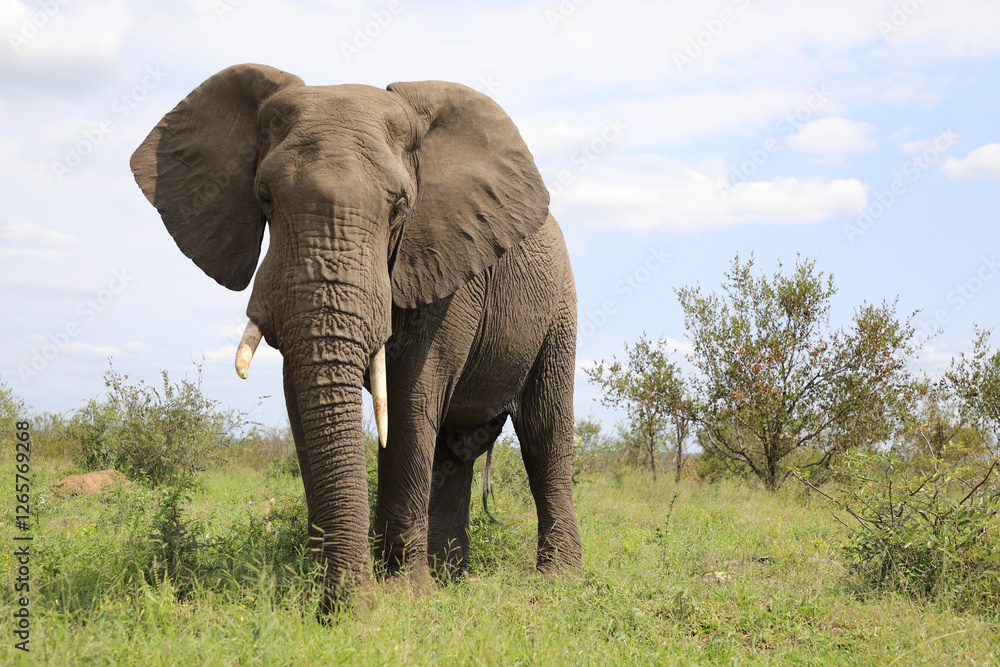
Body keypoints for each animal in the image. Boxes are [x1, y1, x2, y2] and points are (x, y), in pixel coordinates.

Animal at [130, 63, 582, 604]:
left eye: (400, 208)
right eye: (264, 198)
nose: (352, 603)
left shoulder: (446, 263)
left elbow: (410, 400)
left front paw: (404, 596)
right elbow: (302, 399)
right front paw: (326, 591)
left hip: (559, 307)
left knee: (544, 430)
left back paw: (559, 582)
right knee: (457, 448)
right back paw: (451, 579)